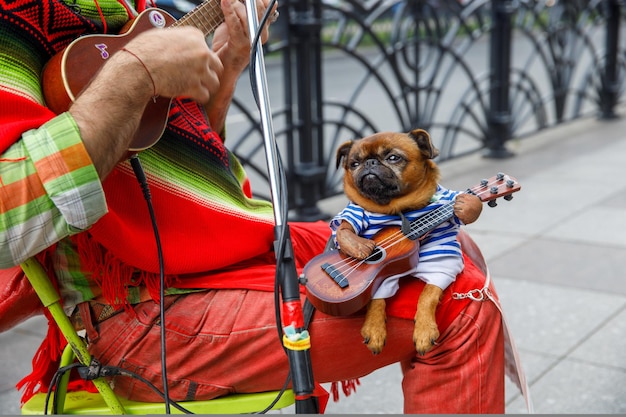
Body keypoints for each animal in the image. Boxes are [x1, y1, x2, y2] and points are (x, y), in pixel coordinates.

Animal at [330, 127, 480, 354]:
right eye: (354, 164)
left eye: (393, 158)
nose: (370, 163)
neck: (396, 208)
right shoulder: (355, 213)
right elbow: (344, 228)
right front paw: (359, 246)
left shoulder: (443, 265)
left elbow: (428, 295)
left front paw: (425, 330)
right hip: (383, 278)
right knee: (377, 297)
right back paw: (374, 328)